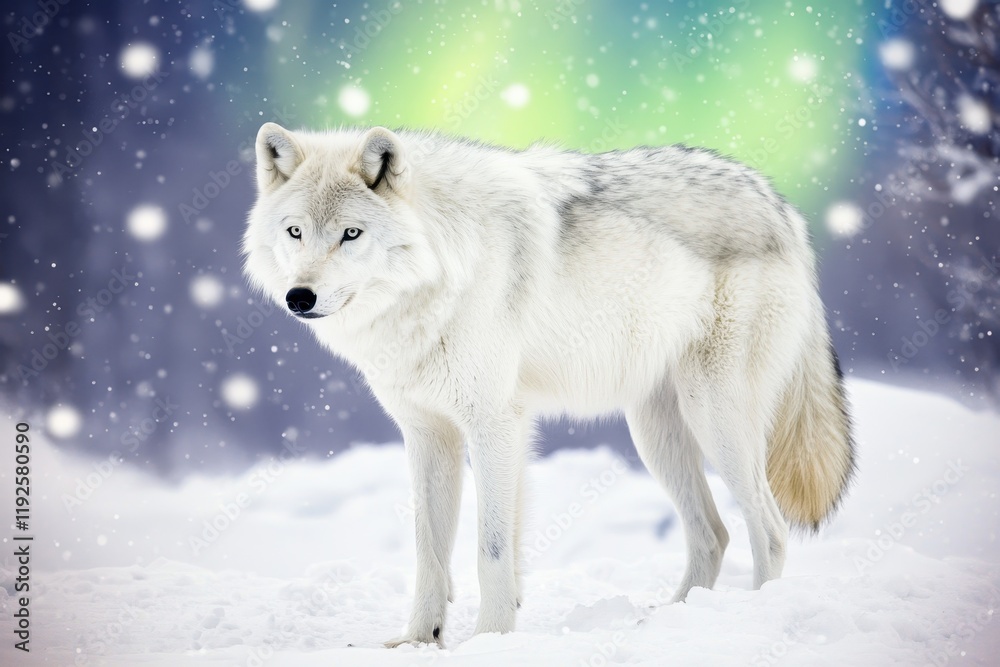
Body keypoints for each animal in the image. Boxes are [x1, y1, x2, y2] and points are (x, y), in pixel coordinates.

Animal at [243, 122, 855, 647]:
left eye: (351, 234)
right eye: (295, 231)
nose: (300, 297)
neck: (443, 270)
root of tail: (780, 205)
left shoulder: (494, 425)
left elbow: (490, 551)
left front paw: (489, 641)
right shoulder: (429, 434)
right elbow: (430, 552)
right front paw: (418, 641)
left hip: (715, 420)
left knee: (769, 530)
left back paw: (752, 619)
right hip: (655, 434)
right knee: (713, 533)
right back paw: (669, 624)